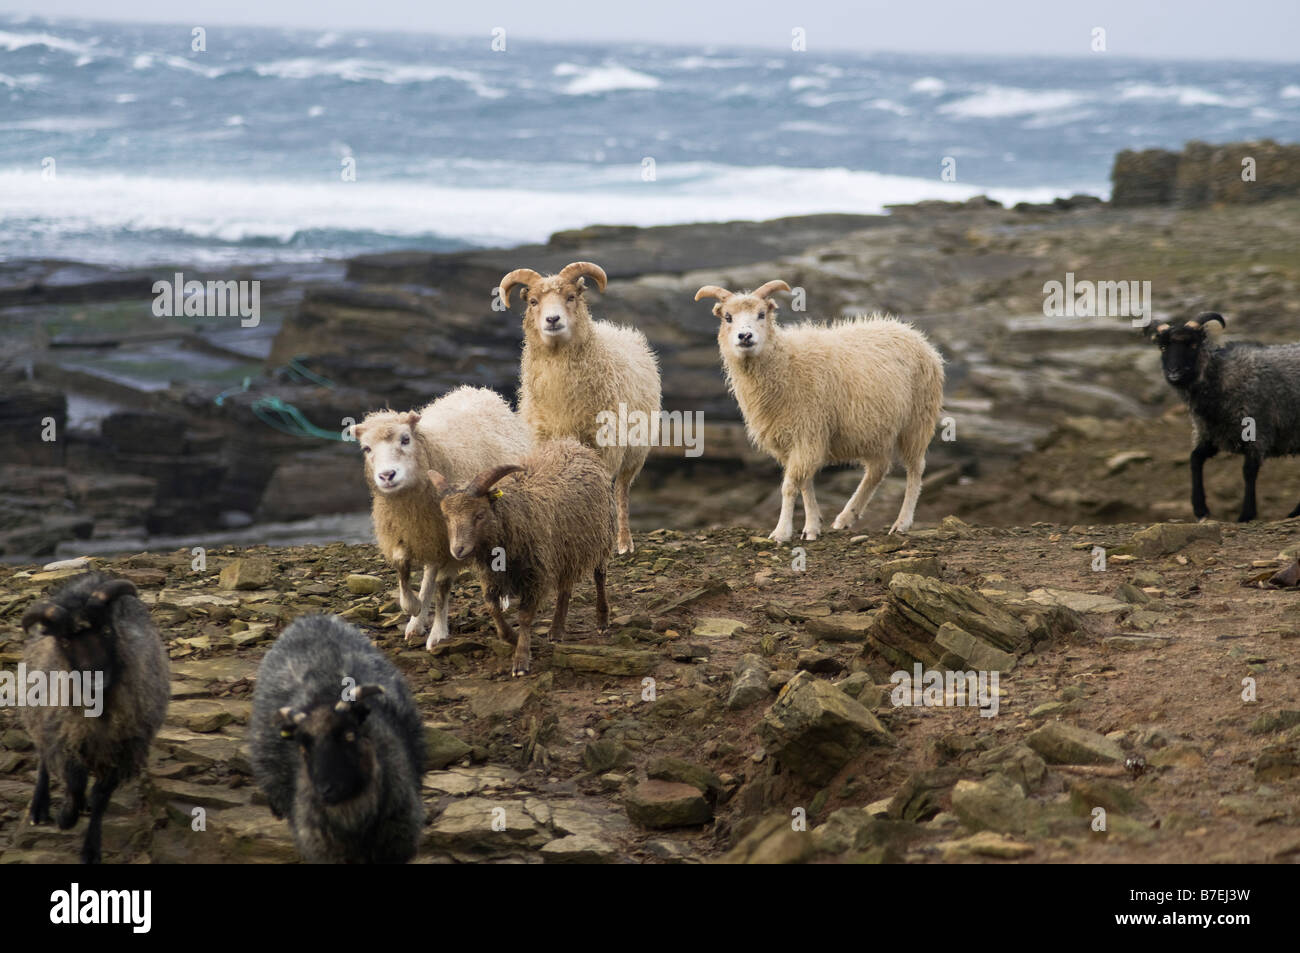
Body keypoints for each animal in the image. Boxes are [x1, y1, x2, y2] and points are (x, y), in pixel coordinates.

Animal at [353, 384, 530, 647]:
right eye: (367, 448)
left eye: (405, 439)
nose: (387, 475)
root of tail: (478, 390)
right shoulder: (405, 530)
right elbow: (402, 564)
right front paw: (413, 607)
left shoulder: (456, 540)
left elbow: (444, 585)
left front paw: (437, 632)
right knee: (429, 572)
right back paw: (416, 622)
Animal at [496, 262, 660, 556]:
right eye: (533, 301)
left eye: (571, 296)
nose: (552, 319)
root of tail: (617, 329)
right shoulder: (545, 439)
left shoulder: (603, 443)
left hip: (634, 450)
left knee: (621, 491)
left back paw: (623, 541)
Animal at [691, 278, 946, 538]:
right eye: (728, 317)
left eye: (761, 314)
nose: (745, 336)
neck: (785, 363)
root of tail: (911, 332)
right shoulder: (793, 440)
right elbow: (805, 484)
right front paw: (812, 527)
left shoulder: (808, 431)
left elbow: (790, 485)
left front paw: (781, 532)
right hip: (875, 429)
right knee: (878, 469)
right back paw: (846, 517)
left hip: (917, 419)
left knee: (915, 469)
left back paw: (902, 522)